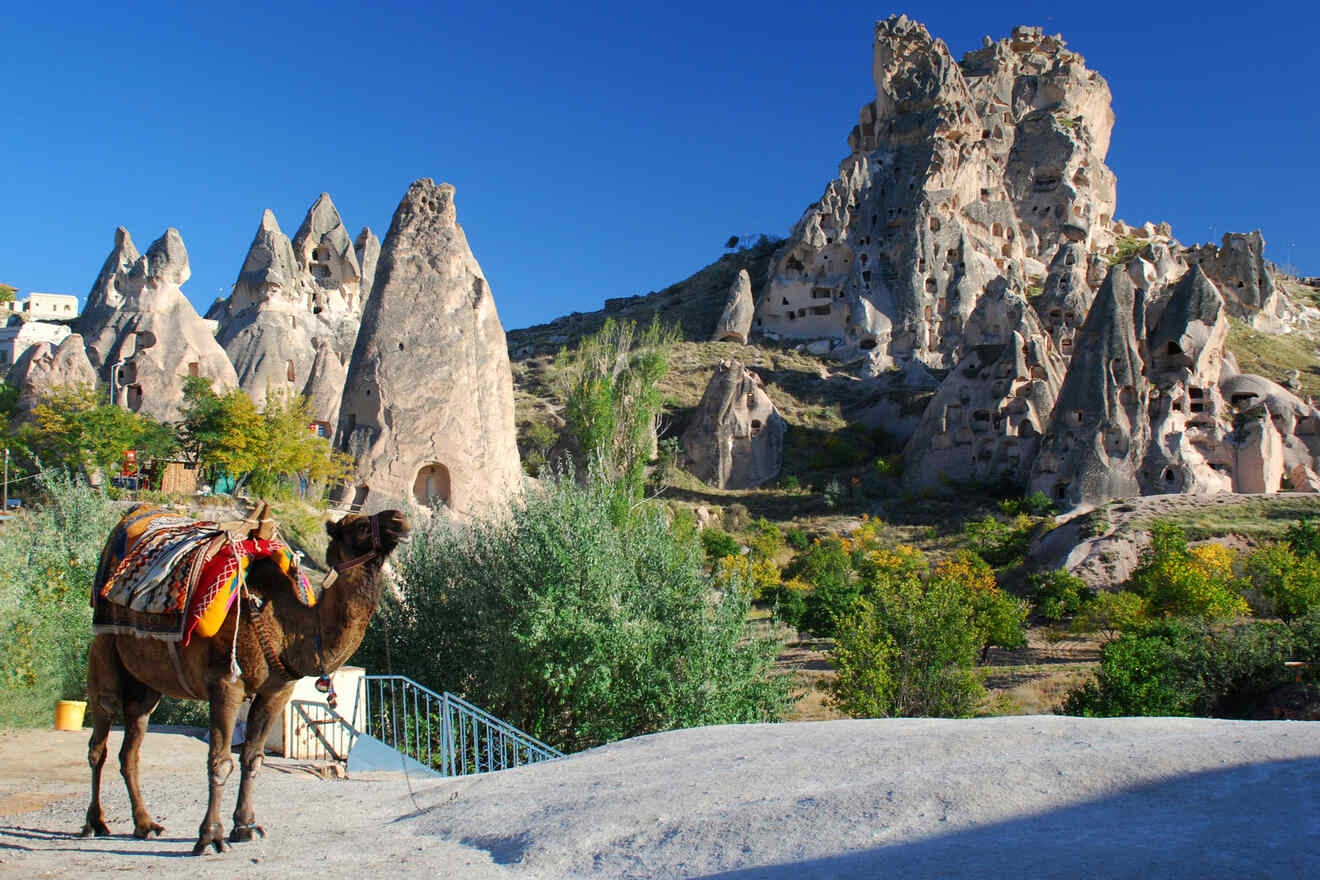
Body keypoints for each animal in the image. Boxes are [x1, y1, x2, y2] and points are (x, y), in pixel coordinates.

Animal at [80, 506, 409, 854]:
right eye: (360, 526)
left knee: (131, 747)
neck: (289, 626)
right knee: (99, 741)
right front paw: (210, 836)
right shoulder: (226, 684)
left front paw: (245, 826)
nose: (399, 519)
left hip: (146, 687)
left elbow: (253, 758)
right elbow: (220, 761)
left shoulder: (277, 690)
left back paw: (145, 825)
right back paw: (94, 823)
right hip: (103, 650)